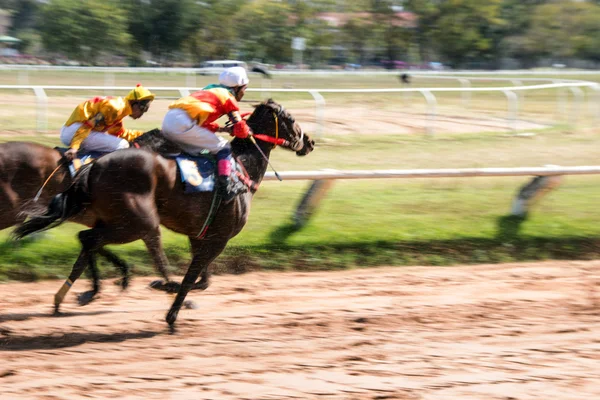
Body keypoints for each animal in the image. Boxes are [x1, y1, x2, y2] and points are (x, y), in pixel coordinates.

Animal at [15, 98, 314, 326]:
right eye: (290, 119)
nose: (309, 142)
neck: (242, 168)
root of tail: (95, 166)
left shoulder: (200, 234)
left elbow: (203, 279)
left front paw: (170, 293)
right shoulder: (219, 238)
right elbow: (192, 276)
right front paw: (171, 311)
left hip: (123, 221)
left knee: (88, 240)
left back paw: (70, 296)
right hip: (139, 222)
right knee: (104, 241)